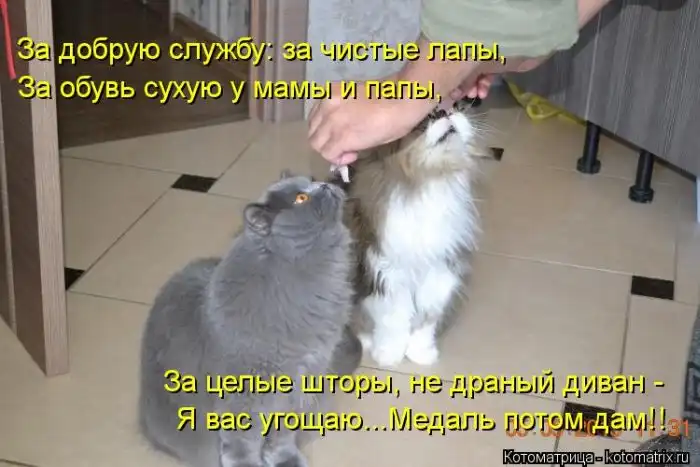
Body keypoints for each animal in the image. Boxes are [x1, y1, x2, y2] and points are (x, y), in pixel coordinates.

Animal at [138, 172, 361, 467]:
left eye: (312, 180)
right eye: (301, 198)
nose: (325, 184)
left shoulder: (301, 383)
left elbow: (281, 436)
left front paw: (285, 460)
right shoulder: (246, 392)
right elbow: (242, 444)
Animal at [346, 107, 490, 368]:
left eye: (456, 106)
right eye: (423, 120)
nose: (445, 111)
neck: (430, 180)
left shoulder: (439, 273)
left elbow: (426, 321)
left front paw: (421, 353)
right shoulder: (387, 275)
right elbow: (393, 320)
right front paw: (389, 354)